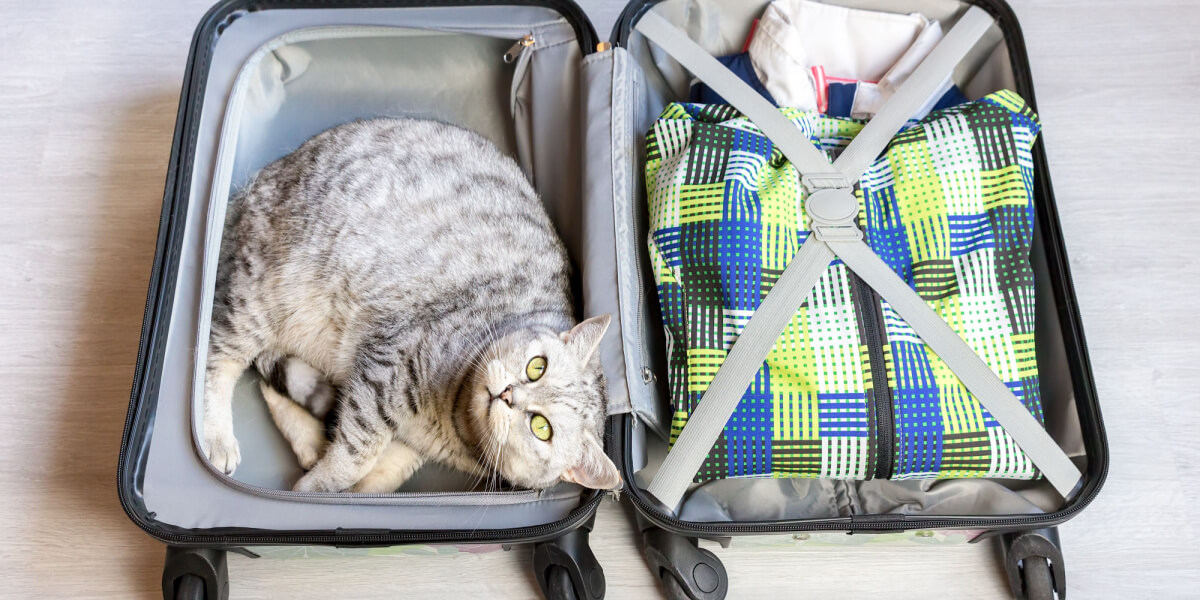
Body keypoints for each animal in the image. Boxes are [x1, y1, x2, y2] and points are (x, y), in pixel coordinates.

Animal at [202, 117, 619, 492]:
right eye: (537, 367)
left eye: (541, 427)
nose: (507, 393)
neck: (456, 426)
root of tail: (259, 181)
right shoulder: (388, 364)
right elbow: (356, 454)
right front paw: (315, 489)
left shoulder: (409, 445)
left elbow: (380, 473)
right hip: (260, 295)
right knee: (218, 356)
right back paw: (217, 437)